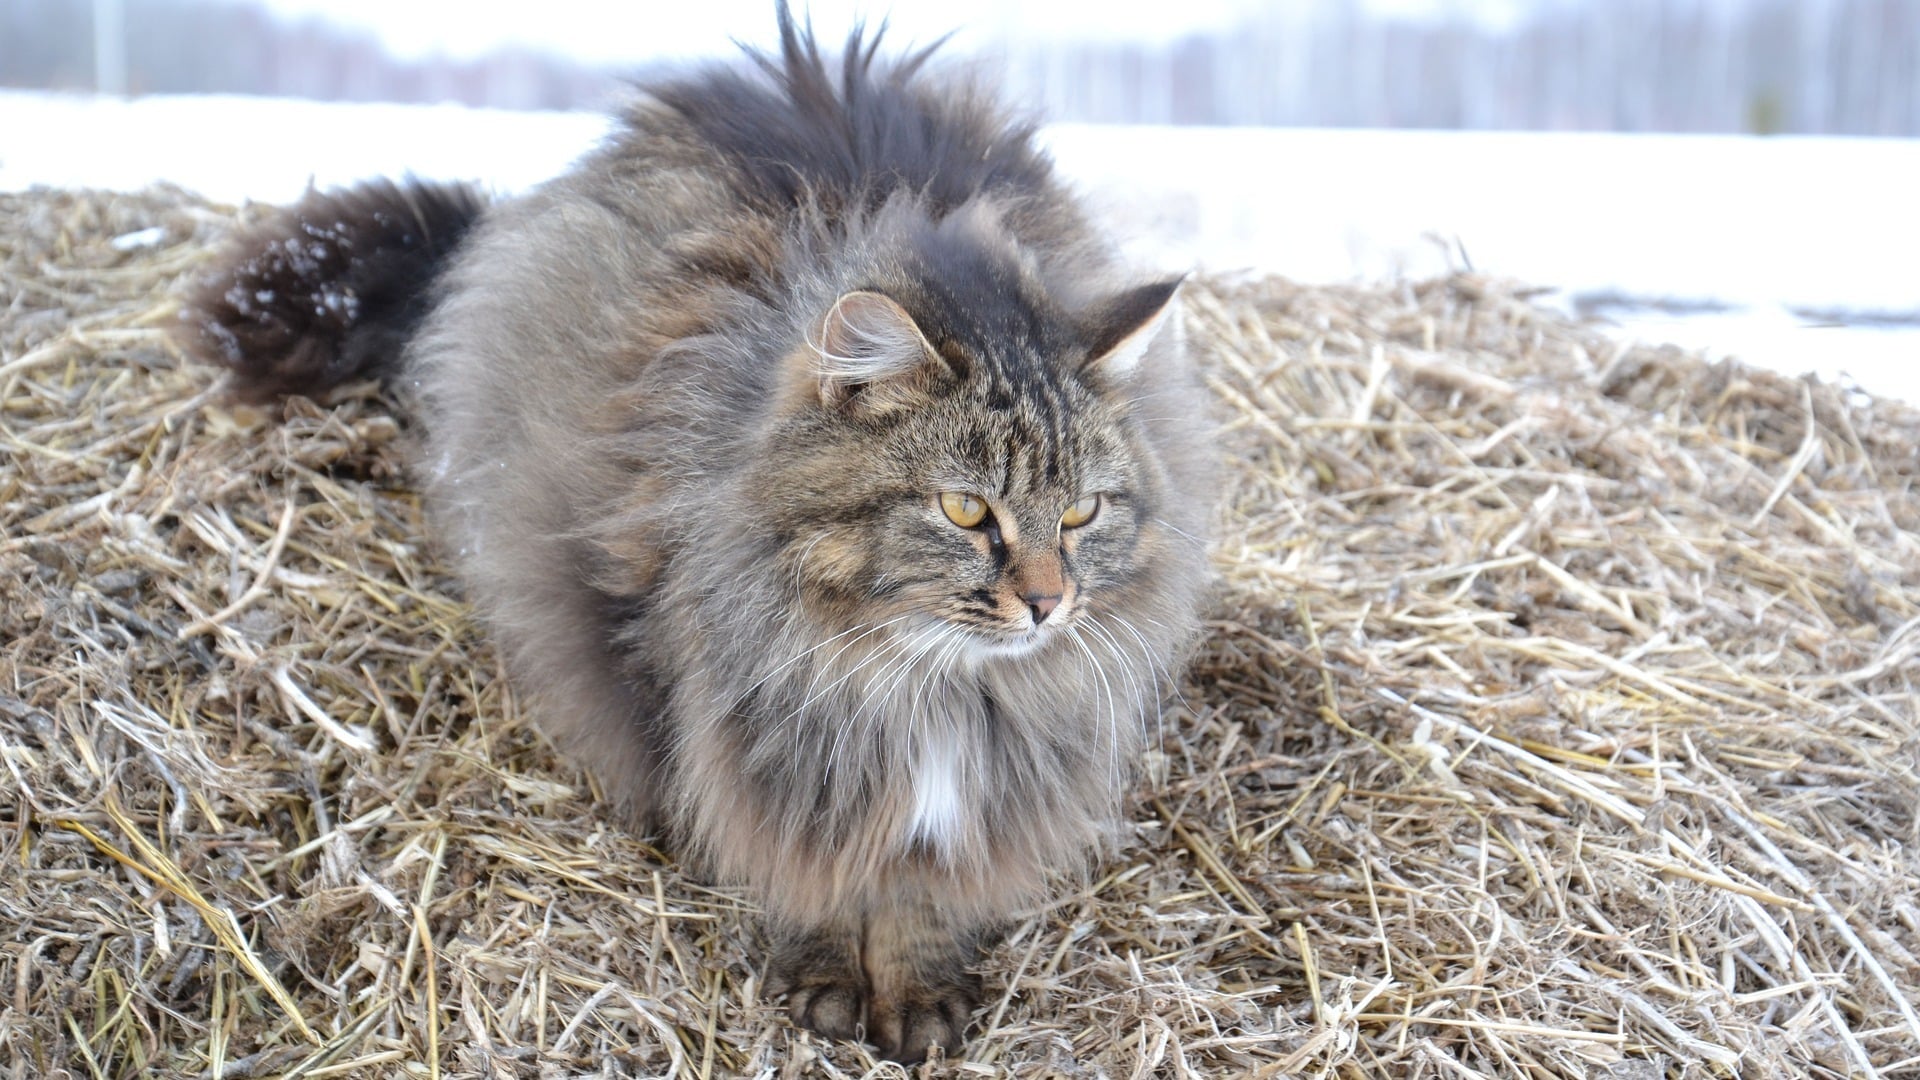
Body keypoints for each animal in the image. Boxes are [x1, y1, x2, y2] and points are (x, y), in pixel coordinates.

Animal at [172, 4, 1205, 1053]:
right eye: (966, 510)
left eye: (1081, 512)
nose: (1047, 602)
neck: (925, 690)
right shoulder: (756, 751)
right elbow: (807, 875)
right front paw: (829, 976)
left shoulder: (978, 790)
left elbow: (921, 894)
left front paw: (914, 990)